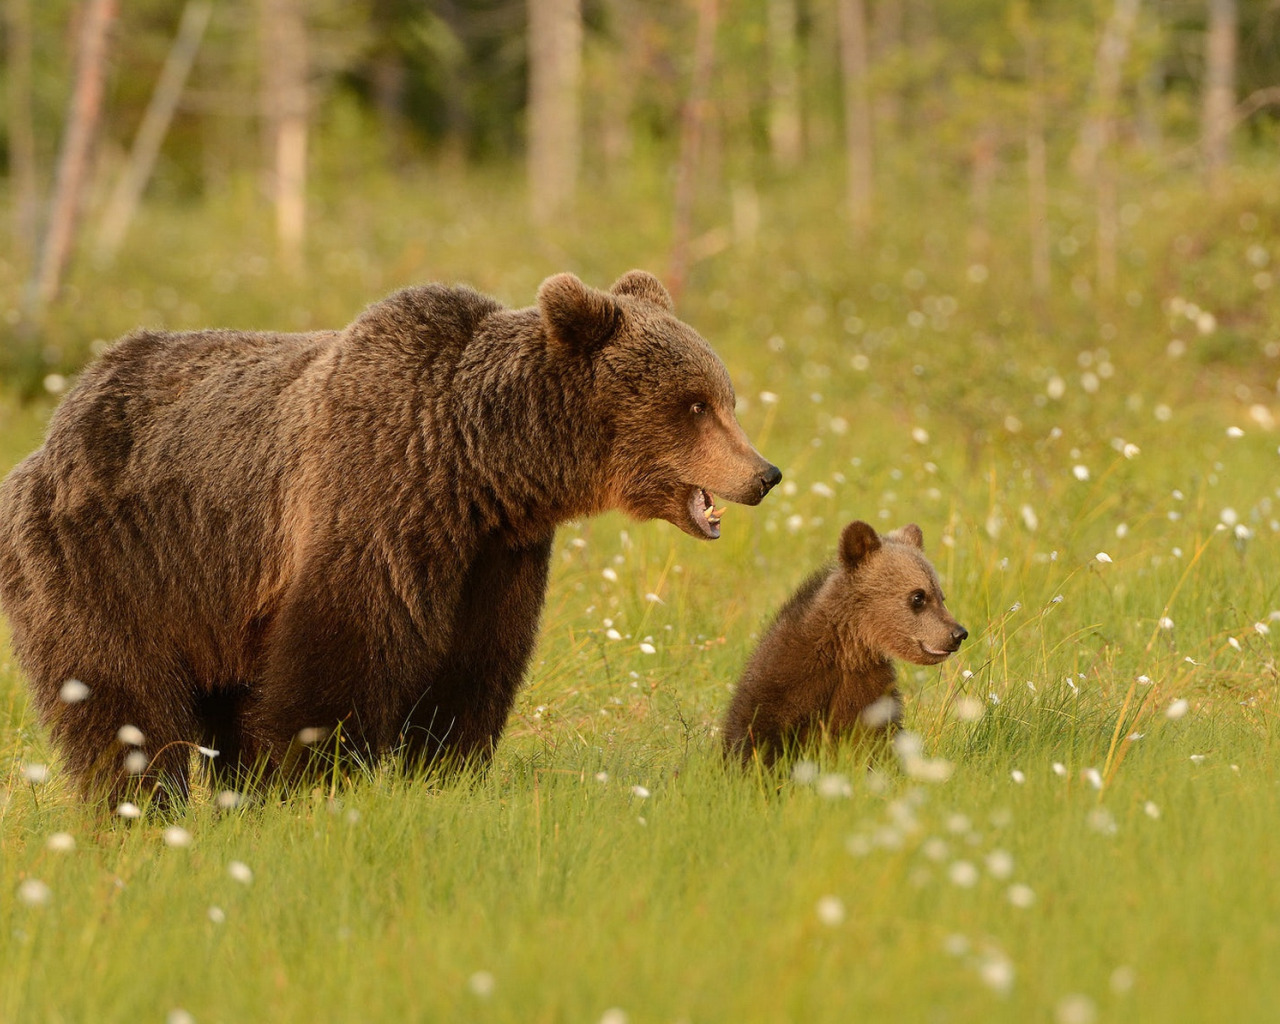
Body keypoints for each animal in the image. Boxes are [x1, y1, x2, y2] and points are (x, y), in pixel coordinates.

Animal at [2, 271, 778, 808]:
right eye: (694, 404)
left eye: (724, 397)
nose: (763, 473)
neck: (478, 463)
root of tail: (54, 429)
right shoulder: (375, 504)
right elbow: (338, 661)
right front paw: (306, 783)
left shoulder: (494, 557)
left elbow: (471, 671)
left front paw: (442, 772)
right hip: (115, 563)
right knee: (121, 699)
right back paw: (139, 806)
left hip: (212, 597)